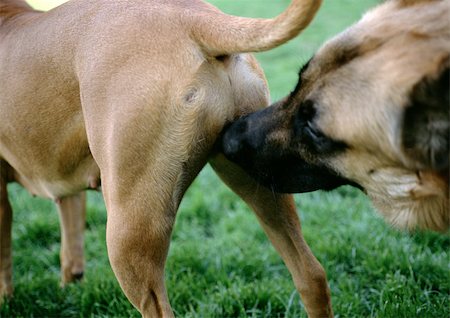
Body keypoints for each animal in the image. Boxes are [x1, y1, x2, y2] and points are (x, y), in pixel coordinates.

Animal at [0, 0, 342, 318]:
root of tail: (193, 16)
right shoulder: (65, 189)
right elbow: (70, 248)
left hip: (129, 228)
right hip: (259, 182)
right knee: (311, 275)